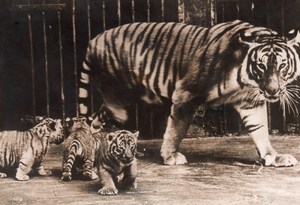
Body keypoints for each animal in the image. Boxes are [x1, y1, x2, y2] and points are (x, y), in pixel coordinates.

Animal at [79, 19, 300, 167]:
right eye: (261, 65)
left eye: (282, 65)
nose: (272, 90)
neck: (246, 80)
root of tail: (94, 39)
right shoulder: (186, 94)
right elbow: (176, 129)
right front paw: (170, 156)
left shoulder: (250, 102)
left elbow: (260, 129)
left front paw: (273, 156)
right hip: (118, 94)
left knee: (97, 120)